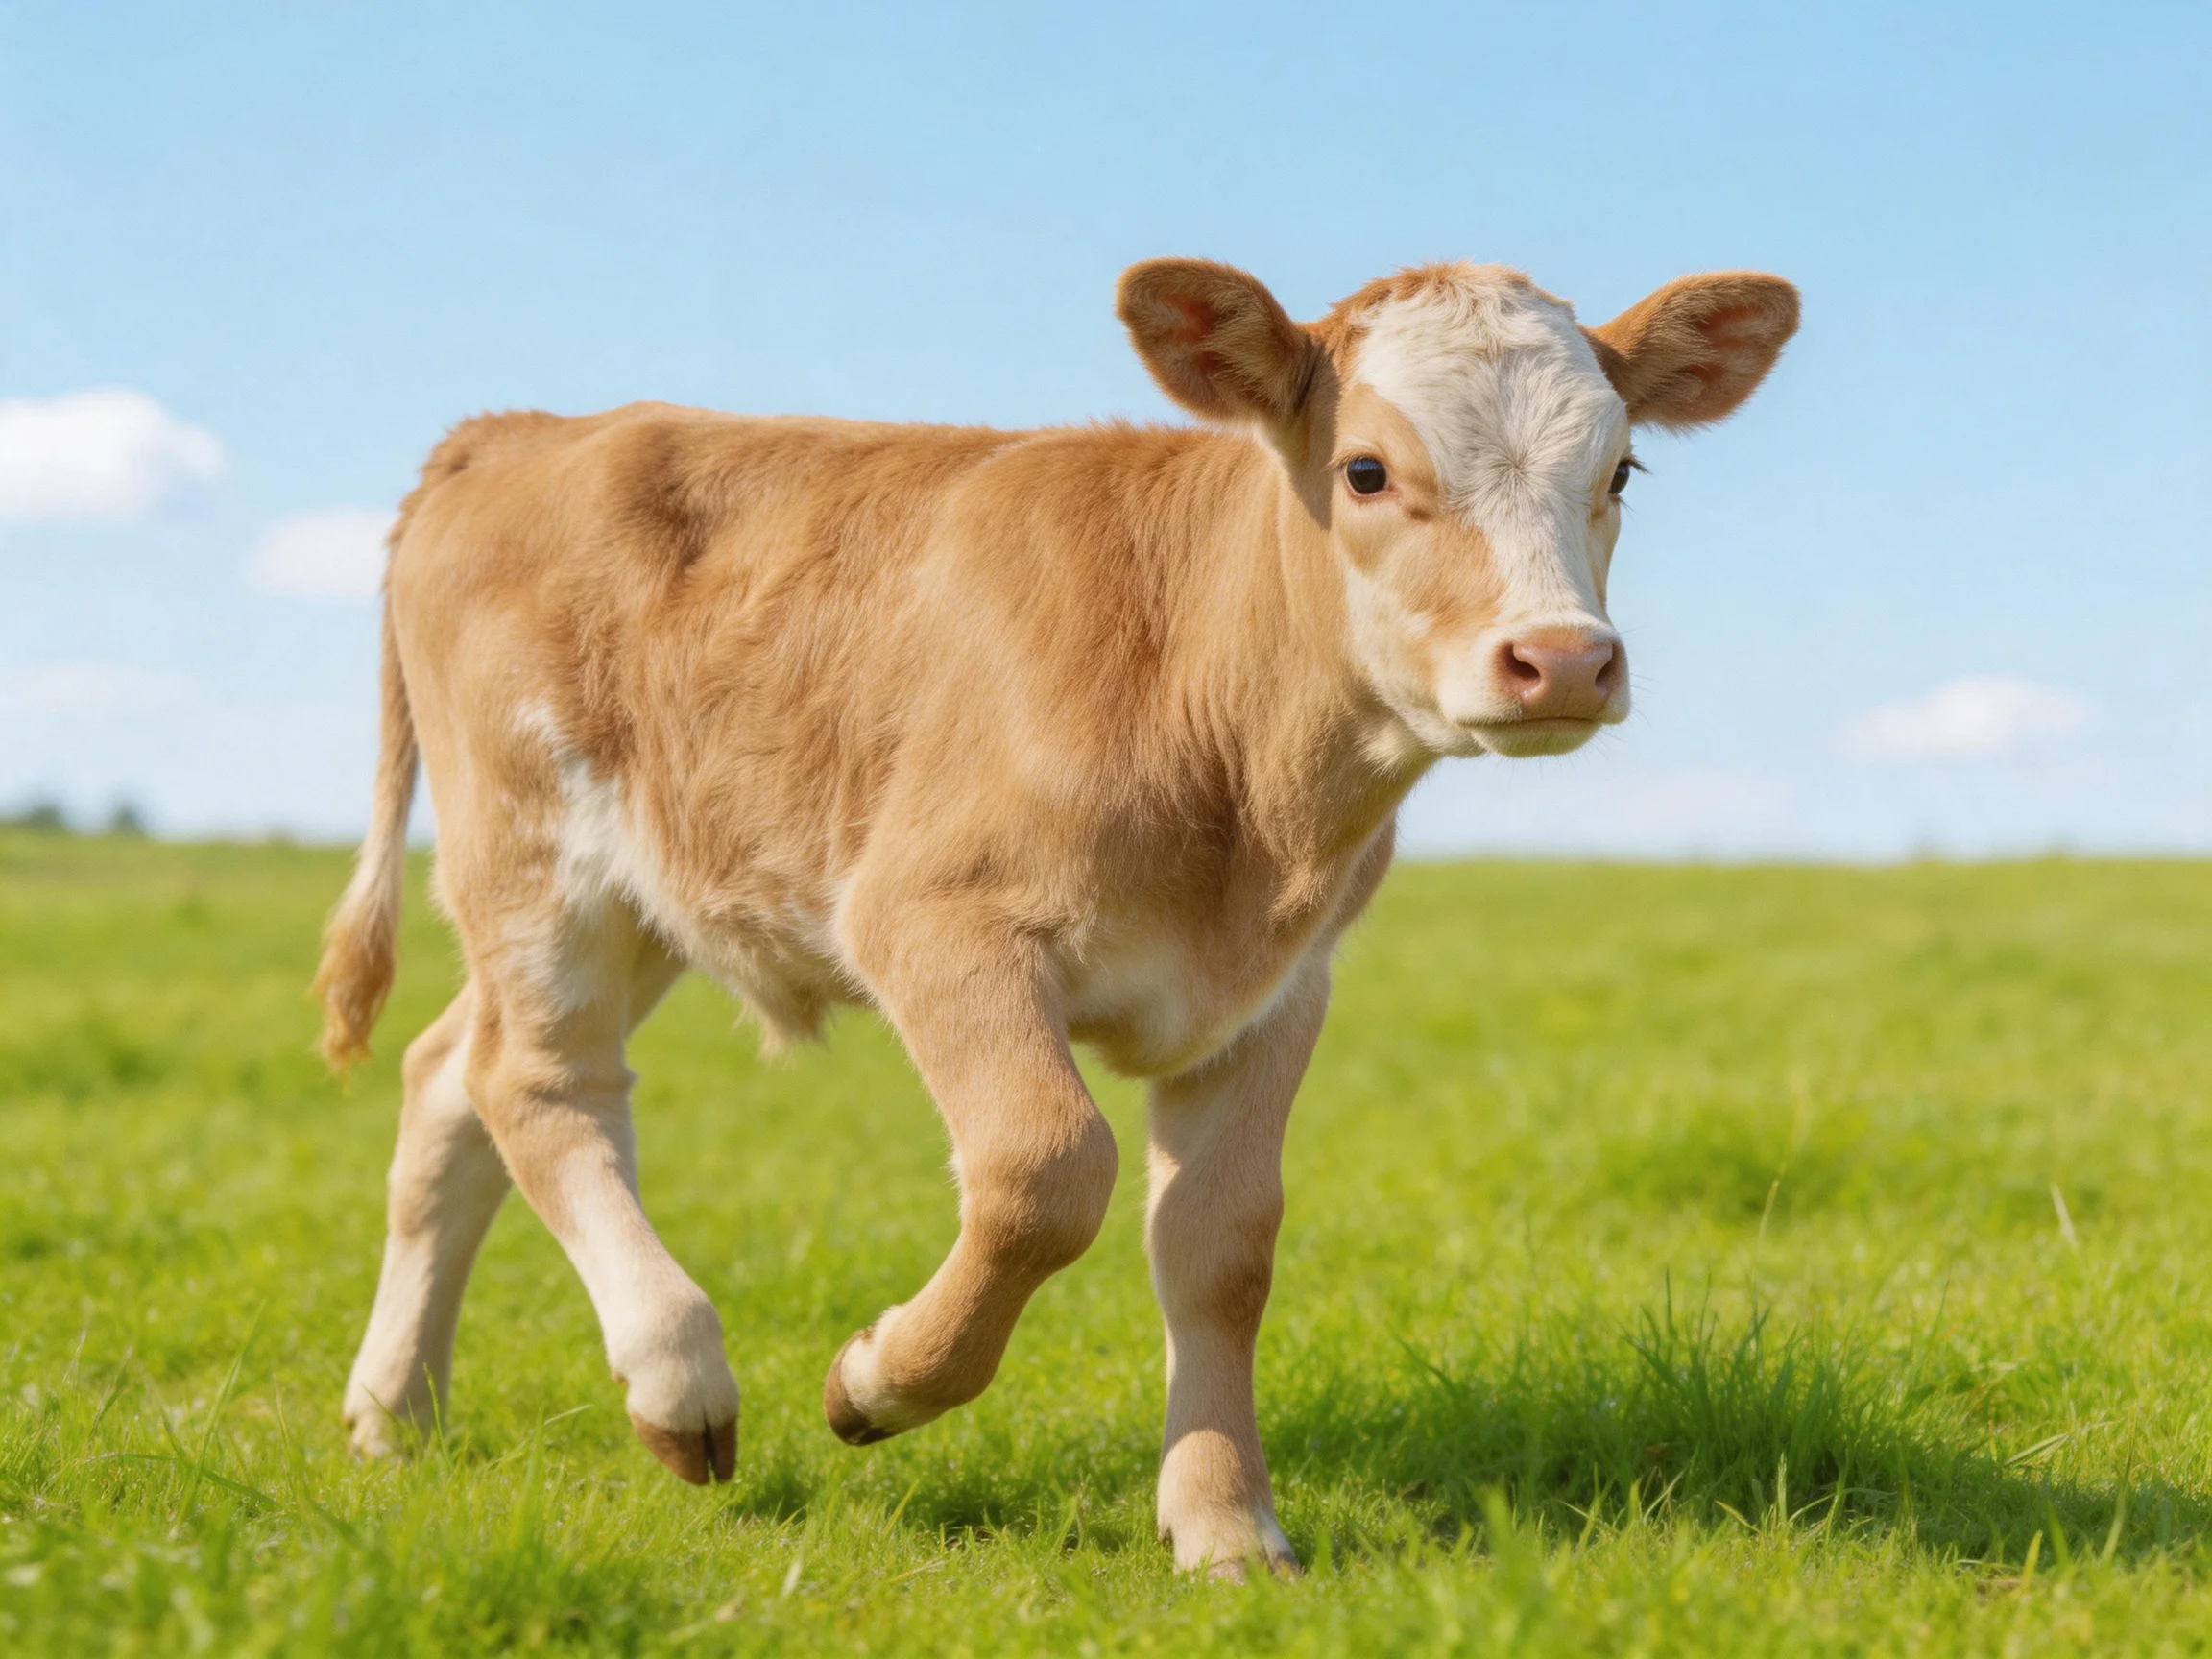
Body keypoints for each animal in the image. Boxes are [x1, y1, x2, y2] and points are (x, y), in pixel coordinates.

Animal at [316, 255, 1797, 1577]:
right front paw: (879, 1379)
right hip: (535, 854)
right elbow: (1045, 1170)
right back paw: (678, 1382)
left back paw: (395, 1411)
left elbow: (1221, 1252)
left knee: (447, 1078)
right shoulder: (931, 919)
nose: (1563, 659)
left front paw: (1225, 1526)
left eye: (1622, 472)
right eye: (1368, 472)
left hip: (647, 899)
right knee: (540, 1085)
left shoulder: (1275, 994)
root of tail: (521, 431)